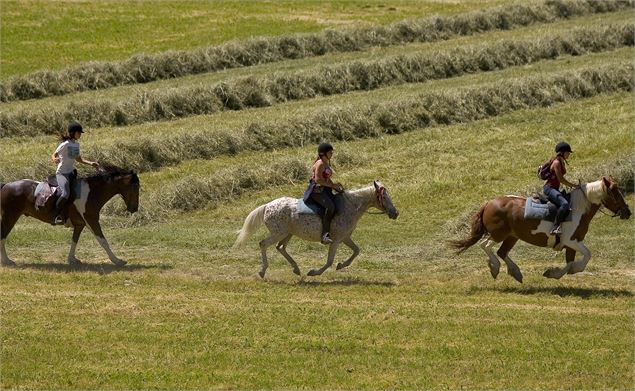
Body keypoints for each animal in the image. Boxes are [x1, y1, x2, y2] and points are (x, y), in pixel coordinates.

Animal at [0, 165, 139, 266]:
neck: (91, 193)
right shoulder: (91, 220)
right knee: (3, 236)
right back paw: (7, 261)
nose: (134, 208)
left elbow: (74, 240)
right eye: (135, 186)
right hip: (10, 216)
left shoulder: (80, 224)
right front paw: (117, 260)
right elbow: (102, 240)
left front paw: (72, 259)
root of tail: (6, 185)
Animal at [236, 181, 400, 278]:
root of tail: (267, 206)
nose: (395, 213)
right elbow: (329, 261)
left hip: (288, 234)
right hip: (278, 233)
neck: (350, 206)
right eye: (384, 197)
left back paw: (296, 269)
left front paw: (341, 265)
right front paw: (314, 272)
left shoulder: (345, 238)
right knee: (263, 244)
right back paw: (262, 271)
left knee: (280, 247)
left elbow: (356, 251)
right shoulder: (336, 240)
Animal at [452, 177, 632, 282]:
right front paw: (568, 270)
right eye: (615, 193)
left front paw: (554, 273)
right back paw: (495, 267)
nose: (628, 212)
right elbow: (587, 255)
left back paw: (515, 272)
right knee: (486, 245)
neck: (577, 208)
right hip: (498, 234)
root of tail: (489, 203)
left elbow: (570, 263)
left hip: (512, 236)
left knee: (501, 252)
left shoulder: (572, 243)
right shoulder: (571, 241)